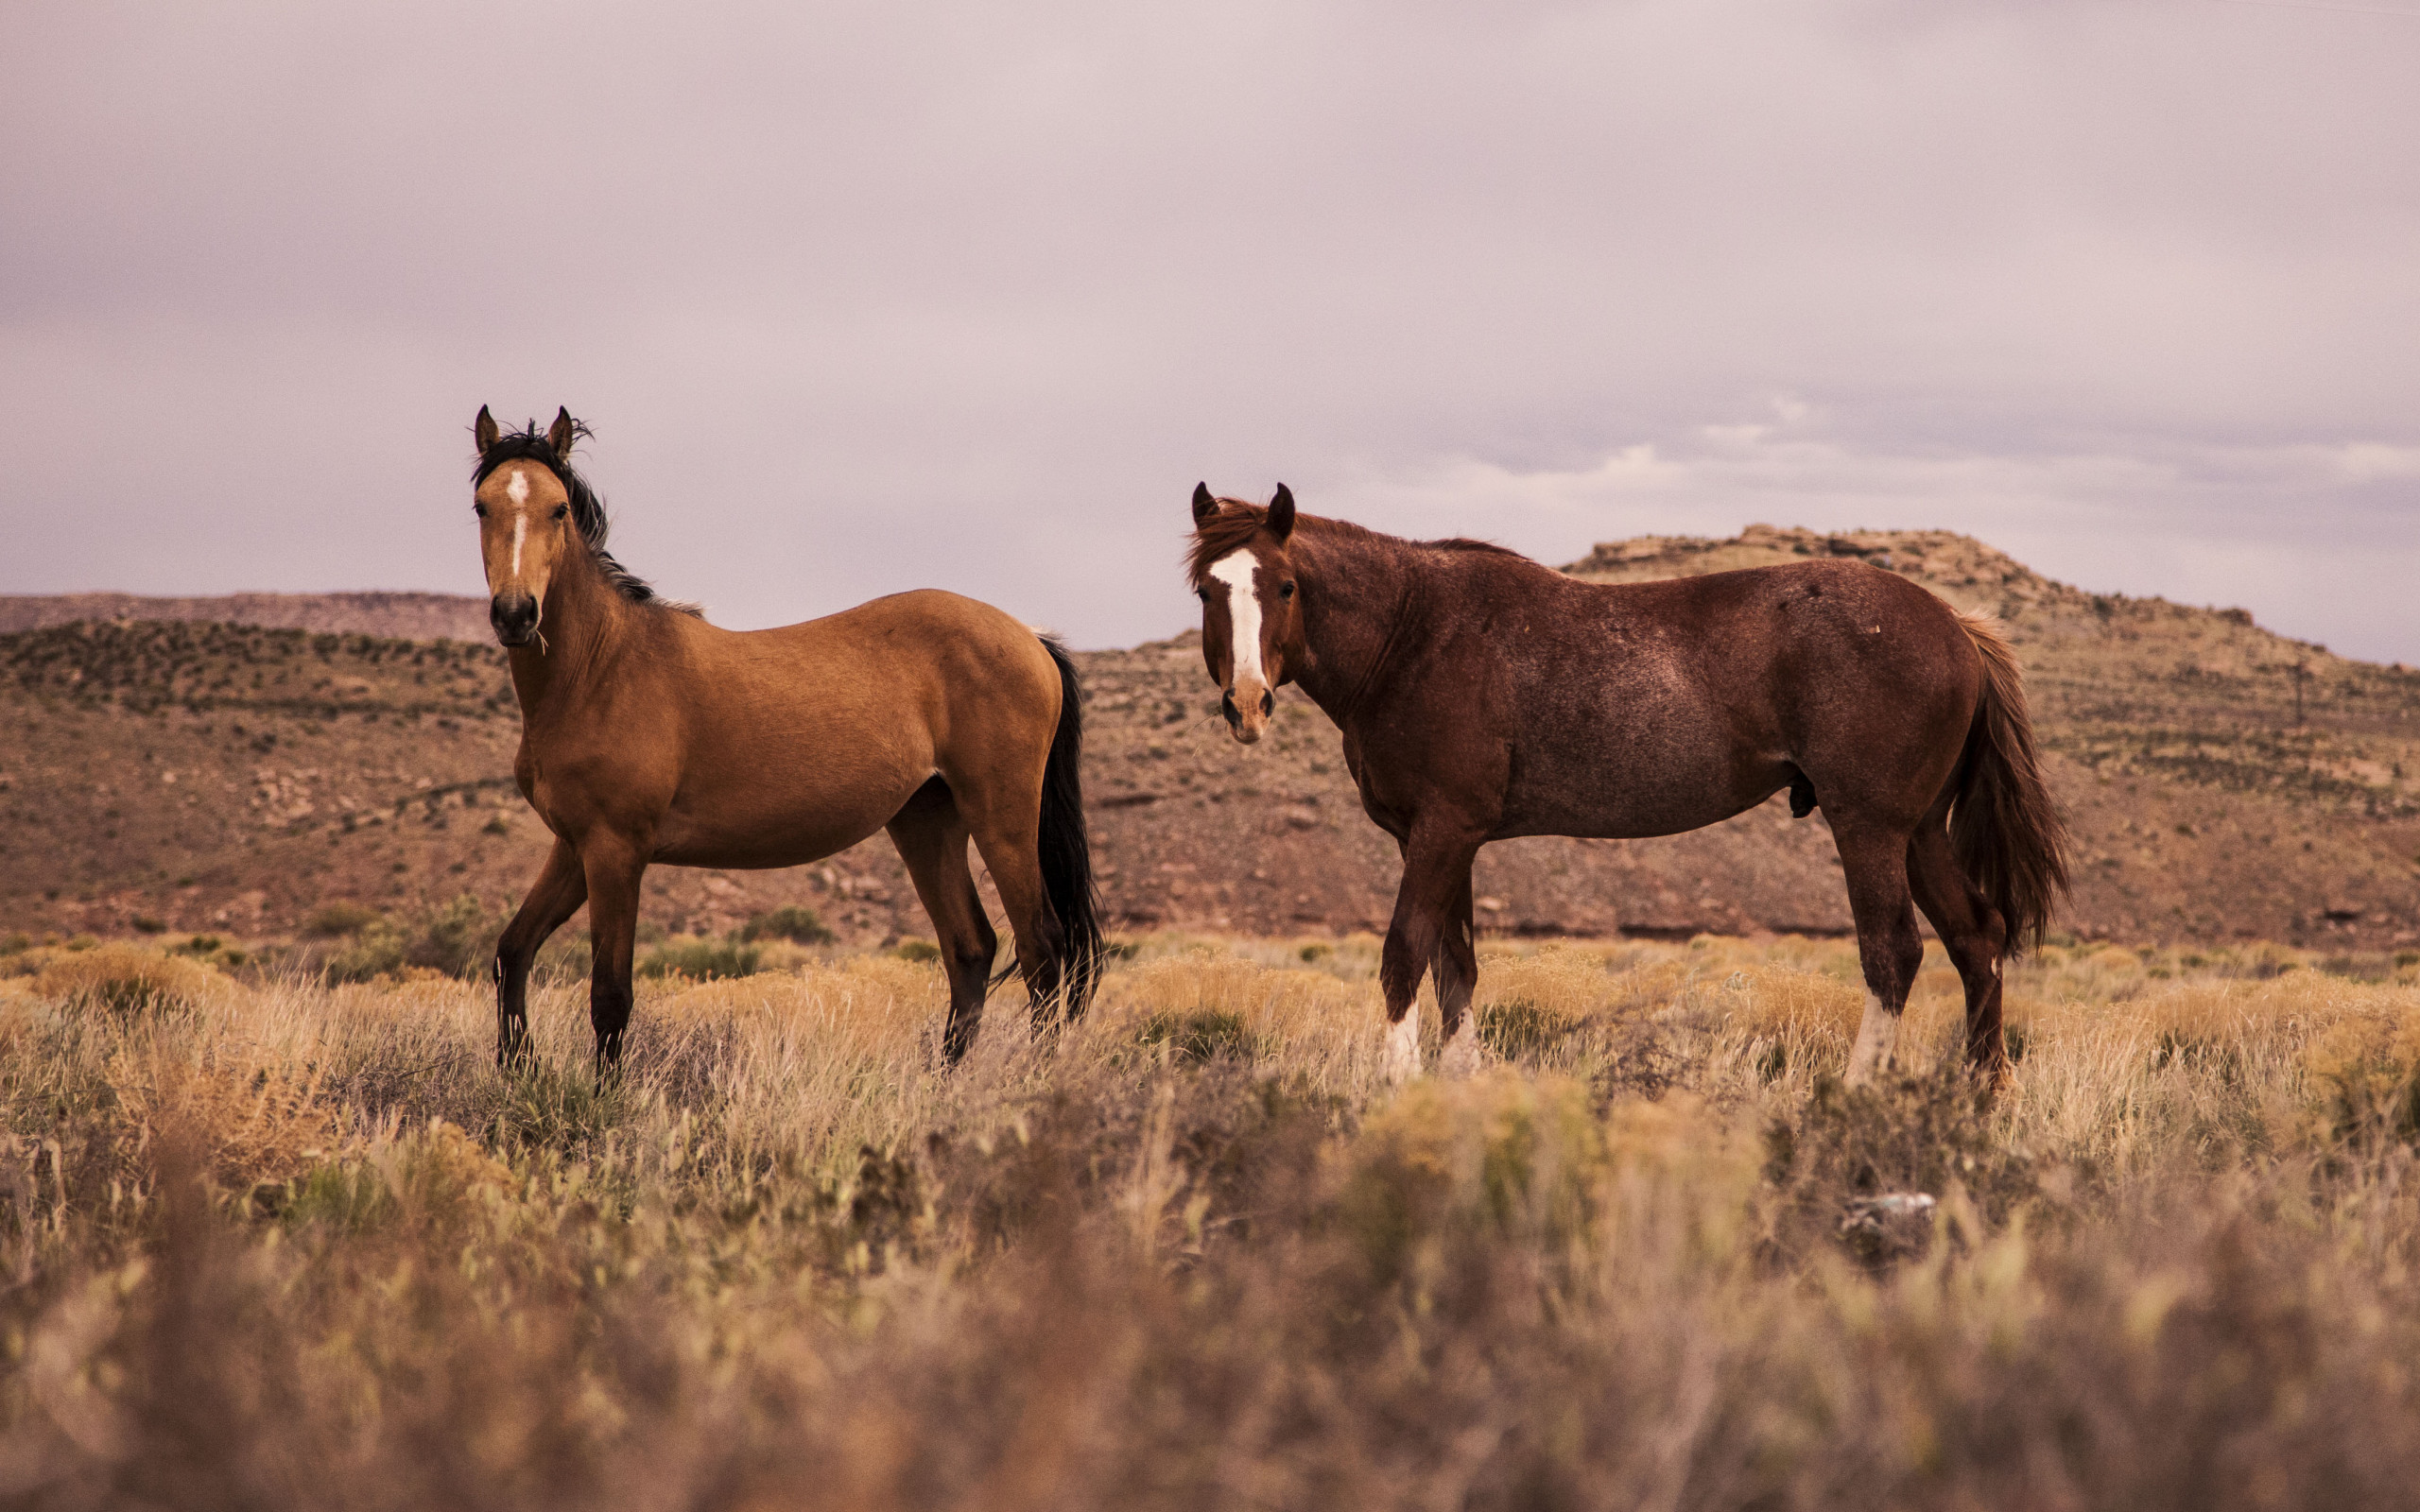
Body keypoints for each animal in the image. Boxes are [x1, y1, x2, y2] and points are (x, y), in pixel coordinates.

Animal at [467, 406, 1103, 1072]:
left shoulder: (616, 851)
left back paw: (1033, 1077)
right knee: (971, 948)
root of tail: (1030, 637)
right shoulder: (574, 847)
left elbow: (611, 997)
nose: (516, 614)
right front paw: (519, 1068)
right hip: (926, 820)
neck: (601, 668)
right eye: (482, 506)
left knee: (1042, 950)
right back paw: (945, 1081)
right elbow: (511, 953)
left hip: (1001, 817)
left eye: (559, 508)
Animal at [1184, 483, 2069, 1087]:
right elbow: (1455, 968)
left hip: (1871, 829)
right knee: (1978, 939)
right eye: (1206, 590)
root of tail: (1956, 626)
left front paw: (1398, 1088)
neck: (1413, 633)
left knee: (1894, 954)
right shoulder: (1446, 841)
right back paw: (1978, 1098)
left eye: (1285, 586)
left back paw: (1856, 1095)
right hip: (1918, 833)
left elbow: (1404, 955)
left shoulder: (1440, 833)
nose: (1247, 703)